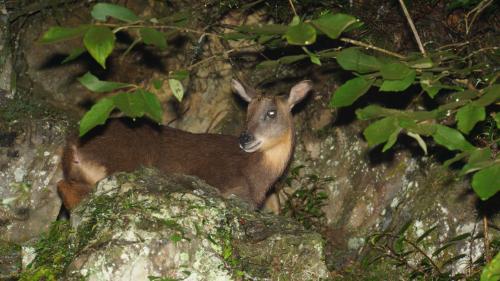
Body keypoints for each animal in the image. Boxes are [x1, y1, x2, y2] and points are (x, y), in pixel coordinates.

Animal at [56, 78, 310, 208]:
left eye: (271, 113)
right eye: (247, 111)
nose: (245, 138)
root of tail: (71, 148)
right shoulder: (232, 191)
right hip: (118, 164)